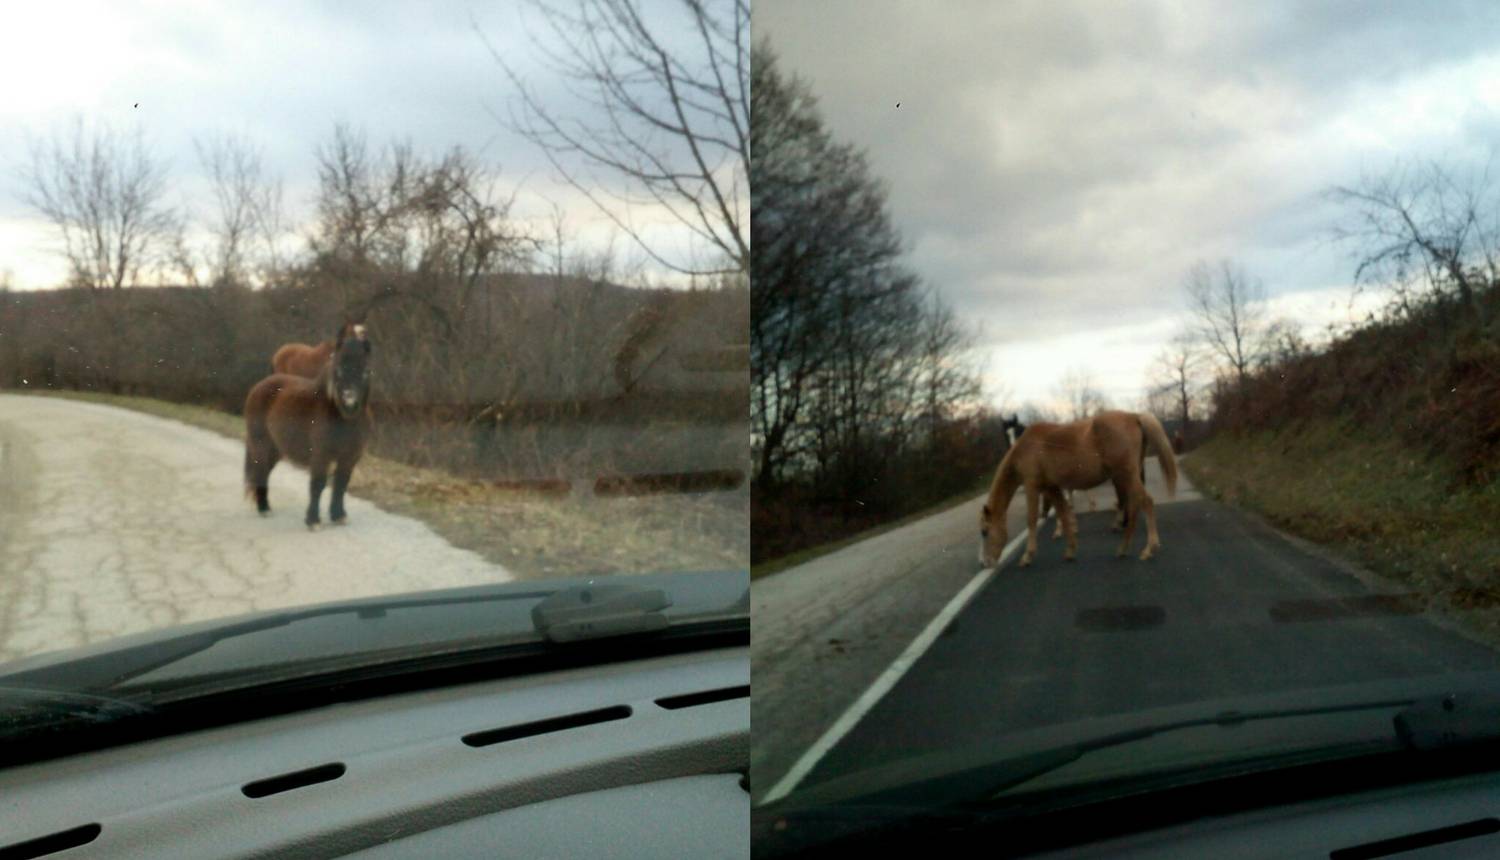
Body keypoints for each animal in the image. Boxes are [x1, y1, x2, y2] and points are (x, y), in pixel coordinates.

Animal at [978, 411, 1176, 570]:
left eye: (984, 532)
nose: (984, 563)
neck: (1026, 447)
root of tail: (1134, 416)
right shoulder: (1051, 488)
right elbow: (1064, 513)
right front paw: (1070, 550)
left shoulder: (1032, 487)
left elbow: (1032, 519)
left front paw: (1027, 556)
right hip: (1126, 478)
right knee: (1133, 506)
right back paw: (1122, 548)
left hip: (1125, 476)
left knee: (1146, 502)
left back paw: (1149, 549)